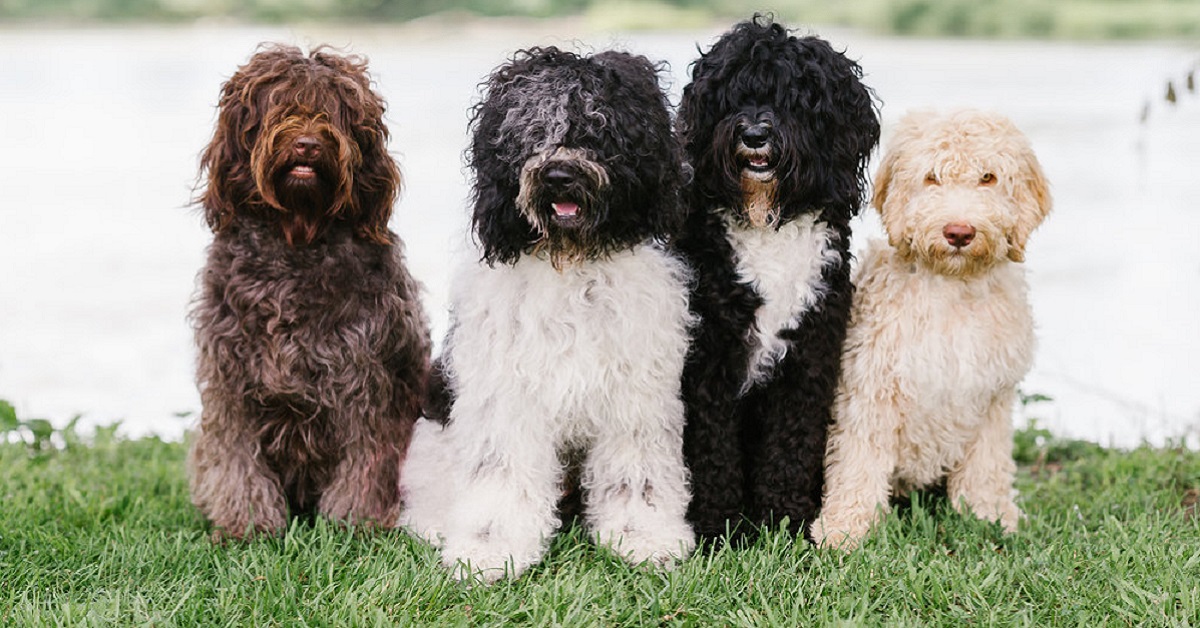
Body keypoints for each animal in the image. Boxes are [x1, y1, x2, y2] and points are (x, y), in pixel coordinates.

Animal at [187, 46, 432, 542]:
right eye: (278, 105)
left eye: (336, 111)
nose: (306, 144)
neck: (296, 239)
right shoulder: (230, 381)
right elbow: (237, 458)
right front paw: (246, 522)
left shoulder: (366, 380)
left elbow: (367, 458)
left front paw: (356, 522)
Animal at [400, 46, 696, 583]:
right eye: (529, 131)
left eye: (599, 128)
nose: (559, 175)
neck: (571, 264)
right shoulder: (506, 400)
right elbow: (499, 476)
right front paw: (489, 547)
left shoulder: (636, 398)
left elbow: (636, 474)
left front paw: (643, 537)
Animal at [676, 17, 883, 542]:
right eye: (731, 97)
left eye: (795, 99)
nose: (753, 134)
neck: (767, 220)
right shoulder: (709, 361)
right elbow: (711, 449)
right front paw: (718, 525)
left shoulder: (809, 354)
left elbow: (792, 443)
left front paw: (784, 519)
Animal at [816, 111, 1051, 549]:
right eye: (931, 177)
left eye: (989, 177)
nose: (959, 232)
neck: (951, 287)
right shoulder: (870, 388)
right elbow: (858, 460)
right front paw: (846, 528)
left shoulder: (993, 395)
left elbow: (987, 463)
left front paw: (989, 514)